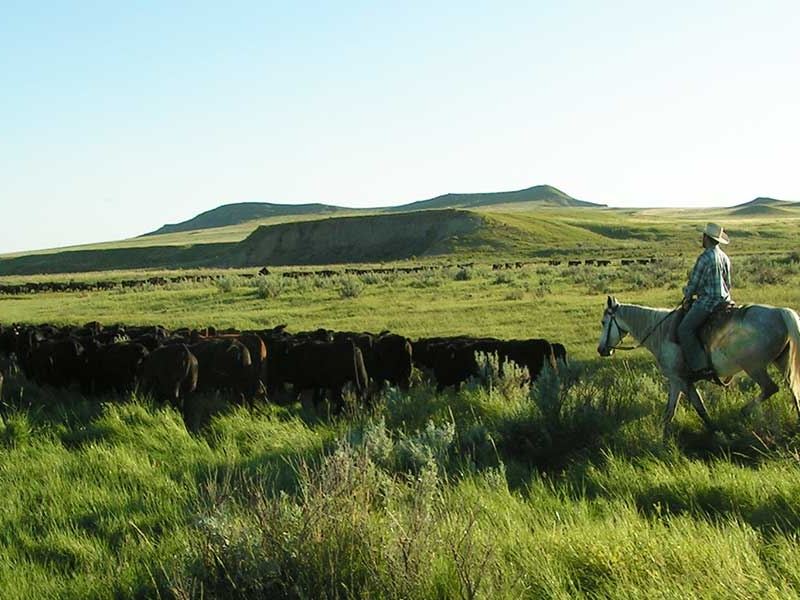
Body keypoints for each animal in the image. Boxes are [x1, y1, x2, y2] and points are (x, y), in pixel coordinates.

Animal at [596, 296, 800, 436]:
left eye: (604, 322)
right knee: (795, 392)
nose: (601, 349)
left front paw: (662, 440)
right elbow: (694, 409)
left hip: (754, 367)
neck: (661, 332)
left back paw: (744, 411)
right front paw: (715, 432)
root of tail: (780, 312)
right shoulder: (685, 382)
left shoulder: (677, 380)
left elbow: (676, 411)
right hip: (783, 363)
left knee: (770, 388)